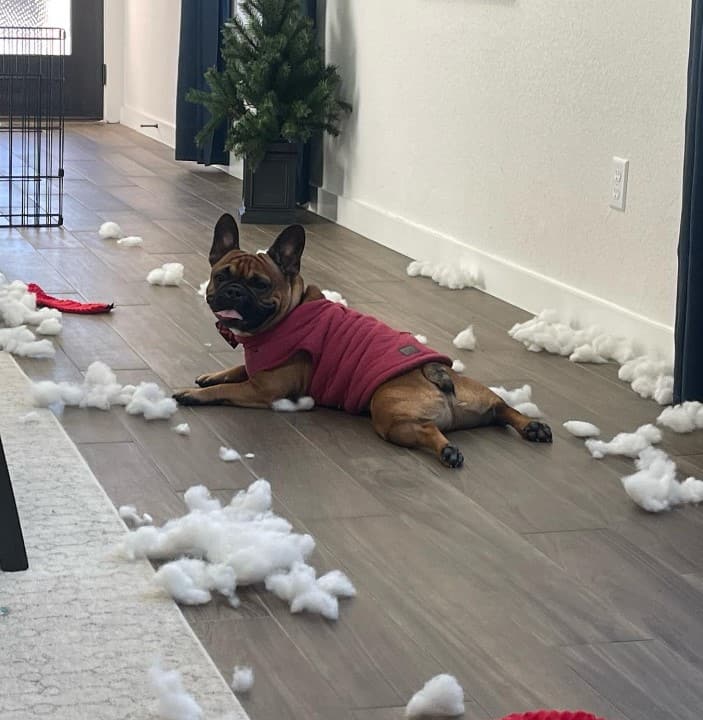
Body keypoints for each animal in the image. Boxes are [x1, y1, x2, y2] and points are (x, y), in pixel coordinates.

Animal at [173, 214, 552, 466]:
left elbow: (226, 390)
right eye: (221, 276)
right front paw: (211, 374)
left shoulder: (262, 389)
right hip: (476, 397)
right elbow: (236, 369)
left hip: (388, 415)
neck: (287, 314)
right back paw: (533, 427)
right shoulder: (258, 368)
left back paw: (447, 450)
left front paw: (194, 393)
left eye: (260, 285)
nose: (234, 291)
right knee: (502, 408)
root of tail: (436, 373)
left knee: (429, 430)